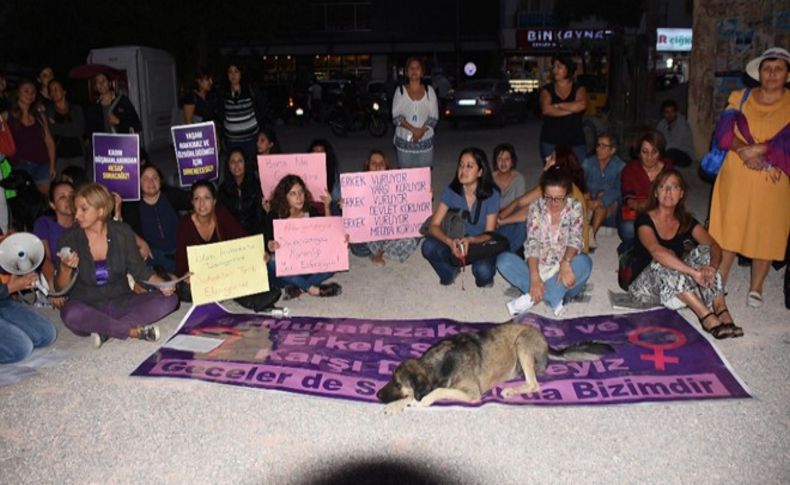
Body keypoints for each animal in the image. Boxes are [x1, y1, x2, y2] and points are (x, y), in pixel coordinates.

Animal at [380, 320, 616, 414]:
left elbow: (436, 391)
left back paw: (511, 390)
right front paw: (397, 405)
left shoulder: (471, 393)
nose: (377, 395)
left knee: (534, 384)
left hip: (522, 343)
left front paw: (421, 401)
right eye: (392, 379)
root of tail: (547, 343)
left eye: (398, 383)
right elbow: (416, 395)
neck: (437, 364)